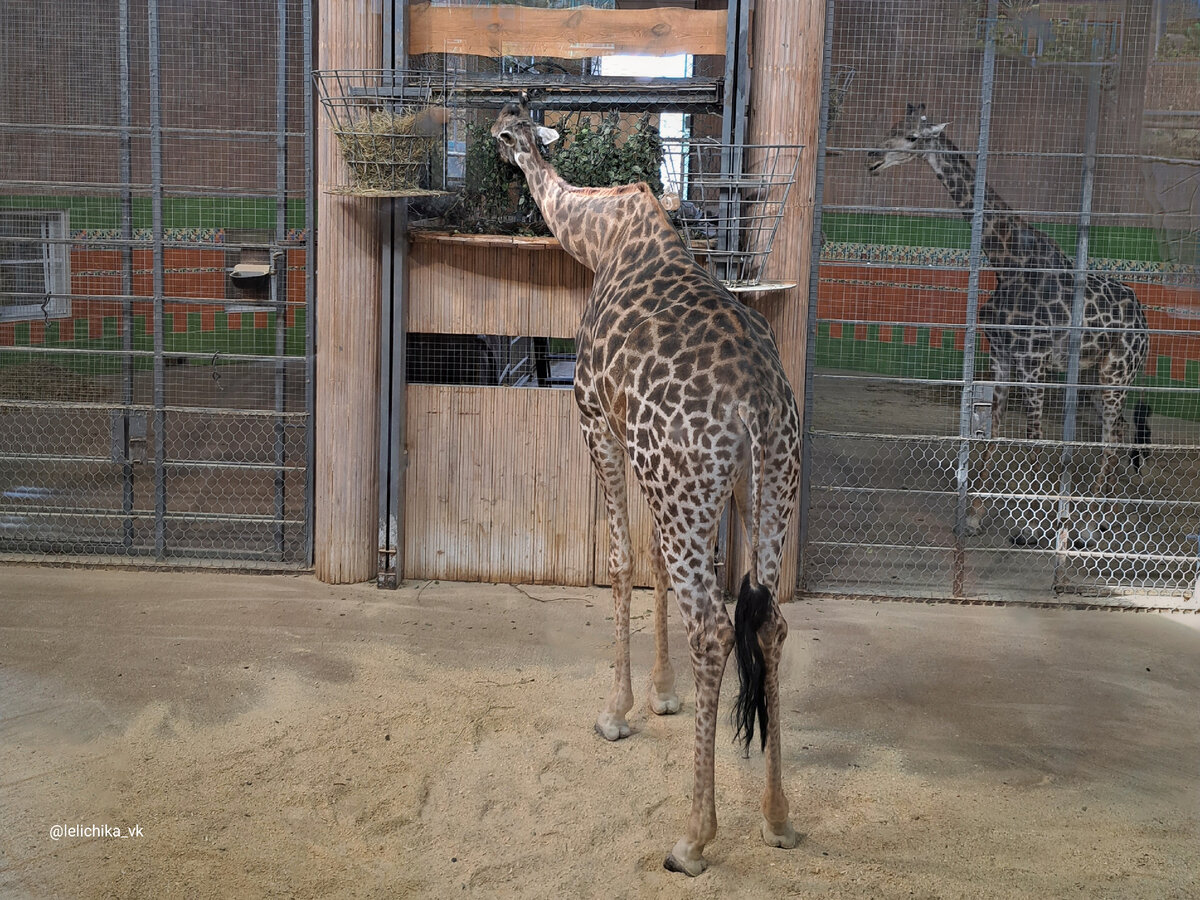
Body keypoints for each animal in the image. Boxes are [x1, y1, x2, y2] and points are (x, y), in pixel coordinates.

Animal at [492, 100, 801, 883]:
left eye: (509, 132)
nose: (493, 139)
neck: (600, 235)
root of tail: (756, 405)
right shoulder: (650, 460)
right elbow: (655, 565)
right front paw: (663, 694)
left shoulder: (595, 419)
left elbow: (620, 560)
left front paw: (618, 710)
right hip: (759, 489)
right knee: (770, 624)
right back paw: (777, 818)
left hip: (686, 484)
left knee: (714, 627)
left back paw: (692, 839)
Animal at [868, 103, 1147, 542]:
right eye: (890, 127)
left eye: (912, 138)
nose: (873, 159)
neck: (1007, 261)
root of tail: (1145, 319)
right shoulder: (1000, 358)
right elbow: (993, 434)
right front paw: (974, 516)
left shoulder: (1033, 363)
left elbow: (1034, 439)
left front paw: (1033, 522)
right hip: (1093, 376)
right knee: (1116, 429)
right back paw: (1101, 513)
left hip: (1118, 372)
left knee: (1110, 437)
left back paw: (1091, 521)